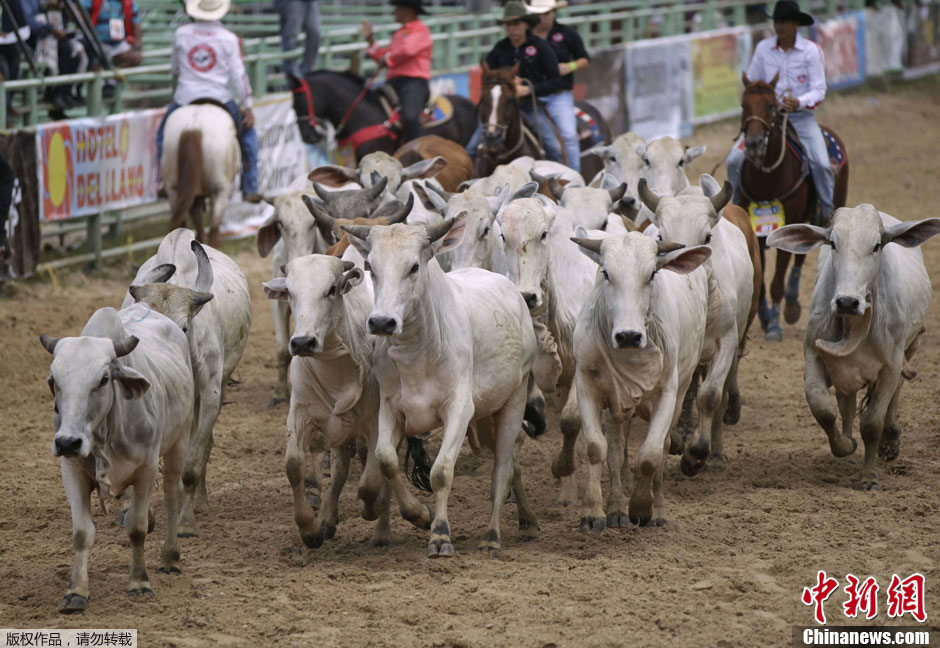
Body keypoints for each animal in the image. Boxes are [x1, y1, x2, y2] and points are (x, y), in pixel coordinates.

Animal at [40, 304, 195, 612]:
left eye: (102, 379)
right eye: (55, 381)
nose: (67, 442)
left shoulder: (147, 469)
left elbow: (137, 527)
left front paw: (139, 582)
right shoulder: (71, 470)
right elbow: (81, 532)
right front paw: (76, 591)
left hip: (179, 442)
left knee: (173, 494)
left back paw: (170, 556)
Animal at [160, 105, 239, 249]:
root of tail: (193, 127)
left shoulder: (194, 197)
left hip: (174, 190)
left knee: (182, 223)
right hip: (219, 191)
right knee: (214, 229)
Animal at [740, 73, 848, 342]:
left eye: (771, 106)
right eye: (743, 106)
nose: (754, 143)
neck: (767, 177)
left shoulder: (786, 225)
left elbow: (777, 282)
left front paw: (774, 325)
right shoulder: (757, 234)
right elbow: (760, 279)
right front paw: (764, 316)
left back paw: (791, 306)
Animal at [768, 205, 940, 488]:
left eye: (877, 245)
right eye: (833, 243)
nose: (847, 302)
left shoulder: (891, 366)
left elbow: (872, 423)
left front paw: (868, 476)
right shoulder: (815, 354)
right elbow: (823, 408)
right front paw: (845, 446)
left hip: (912, 346)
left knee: (896, 394)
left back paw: (890, 439)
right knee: (845, 403)